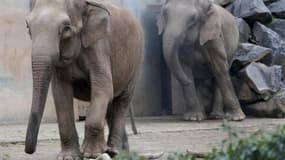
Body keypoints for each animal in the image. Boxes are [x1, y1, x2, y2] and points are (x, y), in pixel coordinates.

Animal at [24, 0, 143, 159]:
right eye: (28, 27)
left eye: (66, 28)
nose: (29, 151)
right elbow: (60, 93)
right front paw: (69, 157)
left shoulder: (99, 46)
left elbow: (103, 88)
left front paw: (91, 154)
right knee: (112, 103)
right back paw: (119, 151)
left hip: (136, 62)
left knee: (122, 101)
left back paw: (114, 151)